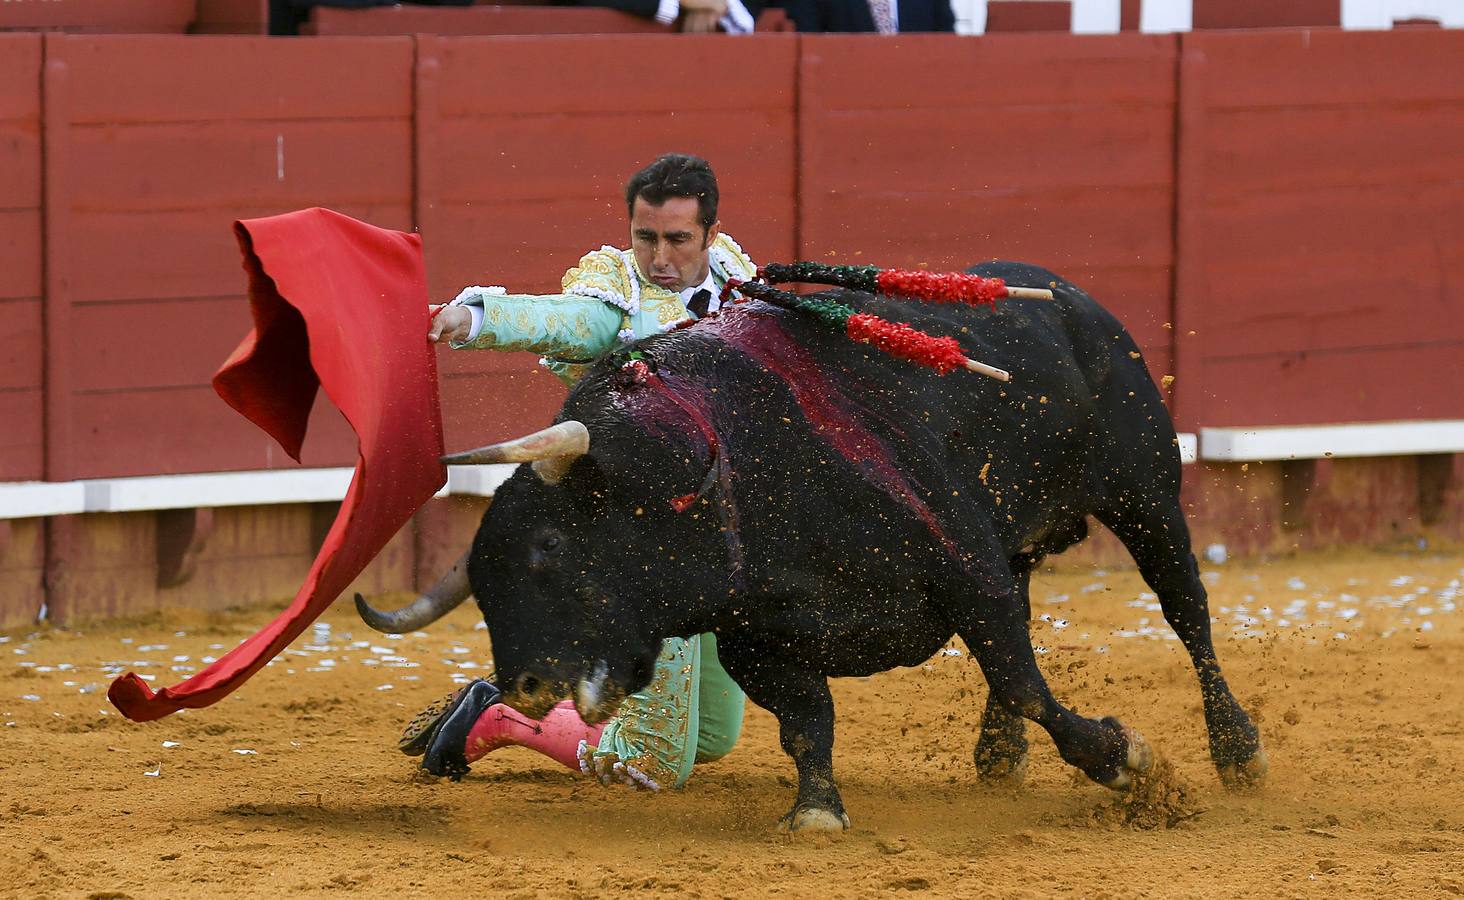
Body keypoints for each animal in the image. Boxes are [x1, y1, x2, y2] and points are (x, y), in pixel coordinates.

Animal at [363, 260, 1259, 831]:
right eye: (481, 581)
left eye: (550, 546)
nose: (524, 681)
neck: (728, 456)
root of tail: (1072, 297)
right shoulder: (757, 638)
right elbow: (807, 721)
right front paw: (817, 809)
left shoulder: (966, 572)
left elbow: (1027, 680)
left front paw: (1124, 759)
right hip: (1034, 537)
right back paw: (999, 753)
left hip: (1146, 496)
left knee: (1188, 613)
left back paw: (1238, 750)